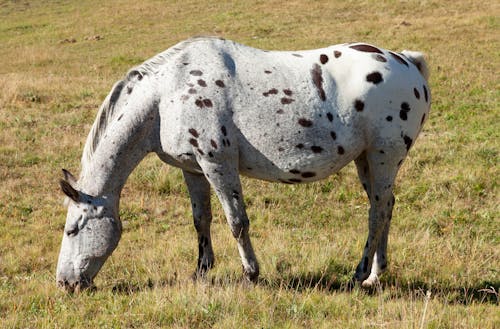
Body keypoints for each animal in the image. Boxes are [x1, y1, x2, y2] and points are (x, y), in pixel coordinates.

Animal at [55, 36, 430, 290]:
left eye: (73, 229)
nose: (65, 283)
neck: (167, 94)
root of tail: (408, 62)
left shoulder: (218, 164)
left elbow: (237, 222)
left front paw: (252, 273)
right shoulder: (192, 169)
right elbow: (201, 220)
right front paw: (201, 271)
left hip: (383, 157)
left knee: (377, 212)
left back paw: (360, 274)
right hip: (366, 161)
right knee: (386, 208)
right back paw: (376, 274)